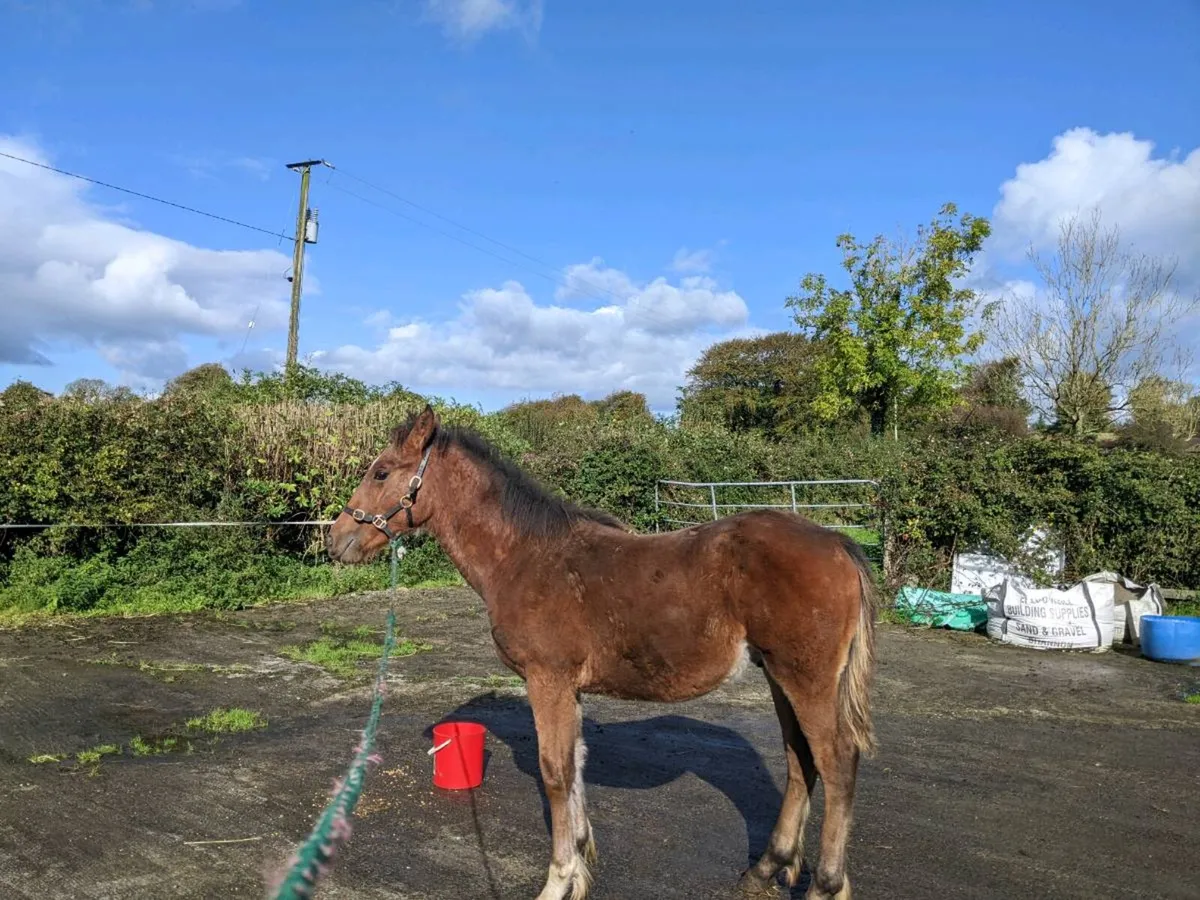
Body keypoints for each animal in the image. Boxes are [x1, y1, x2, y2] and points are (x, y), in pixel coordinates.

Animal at [327, 405, 878, 900]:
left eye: (381, 471)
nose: (337, 539)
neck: (524, 557)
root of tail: (838, 544)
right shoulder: (567, 687)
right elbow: (575, 764)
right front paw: (579, 862)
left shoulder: (546, 679)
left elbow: (554, 770)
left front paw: (557, 881)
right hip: (779, 676)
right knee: (799, 759)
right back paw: (765, 869)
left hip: (806, 677)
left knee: (838, 761)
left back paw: (826, 885)